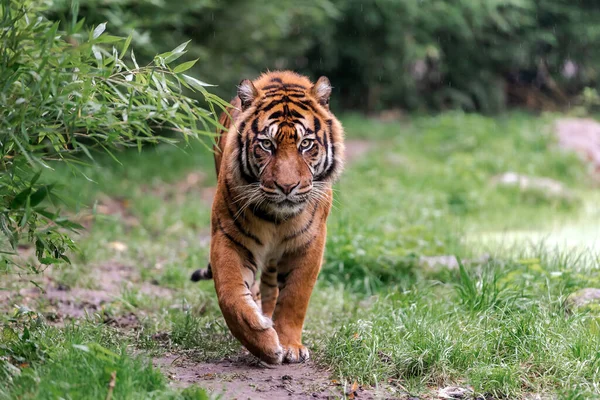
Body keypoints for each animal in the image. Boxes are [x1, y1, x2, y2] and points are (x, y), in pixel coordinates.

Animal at [190, 70, 344, 364]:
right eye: (266, 144)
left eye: (305, 144)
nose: (287, 187)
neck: (277, 219)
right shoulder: (228, 237)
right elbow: (230, 294)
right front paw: (263, 343)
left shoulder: (310, 243)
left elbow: (295, 297)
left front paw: (290, 345)